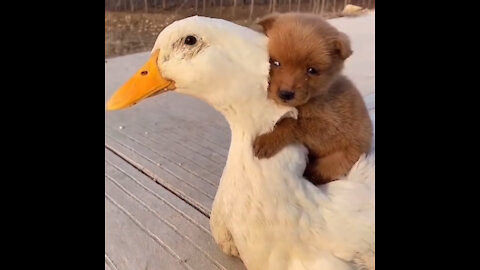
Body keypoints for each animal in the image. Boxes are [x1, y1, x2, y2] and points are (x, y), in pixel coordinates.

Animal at [253, 13, 374, 186]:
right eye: (275, 62)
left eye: (312, 70)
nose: (286, 94)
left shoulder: (330, 128)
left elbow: (294, 123)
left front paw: (269, 140)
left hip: (340, 159)